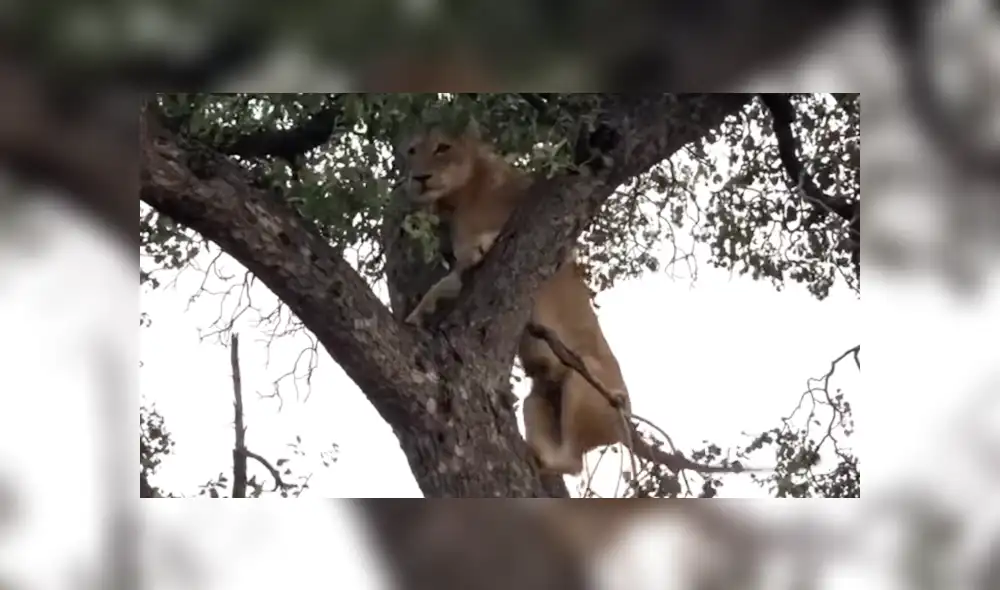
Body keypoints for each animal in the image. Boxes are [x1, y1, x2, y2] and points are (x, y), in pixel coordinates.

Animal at [399, 120, 757, 479]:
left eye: (443, 147)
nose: (419, 178)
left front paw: (481, 245)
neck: (460, 196)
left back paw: (539, 456)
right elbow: (440, 286)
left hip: (583, 377)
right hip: (538, 398)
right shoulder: (461, 272)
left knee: (572, 463)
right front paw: (414, 317)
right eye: (412, 150)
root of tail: (626, 425)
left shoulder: (548, 235)